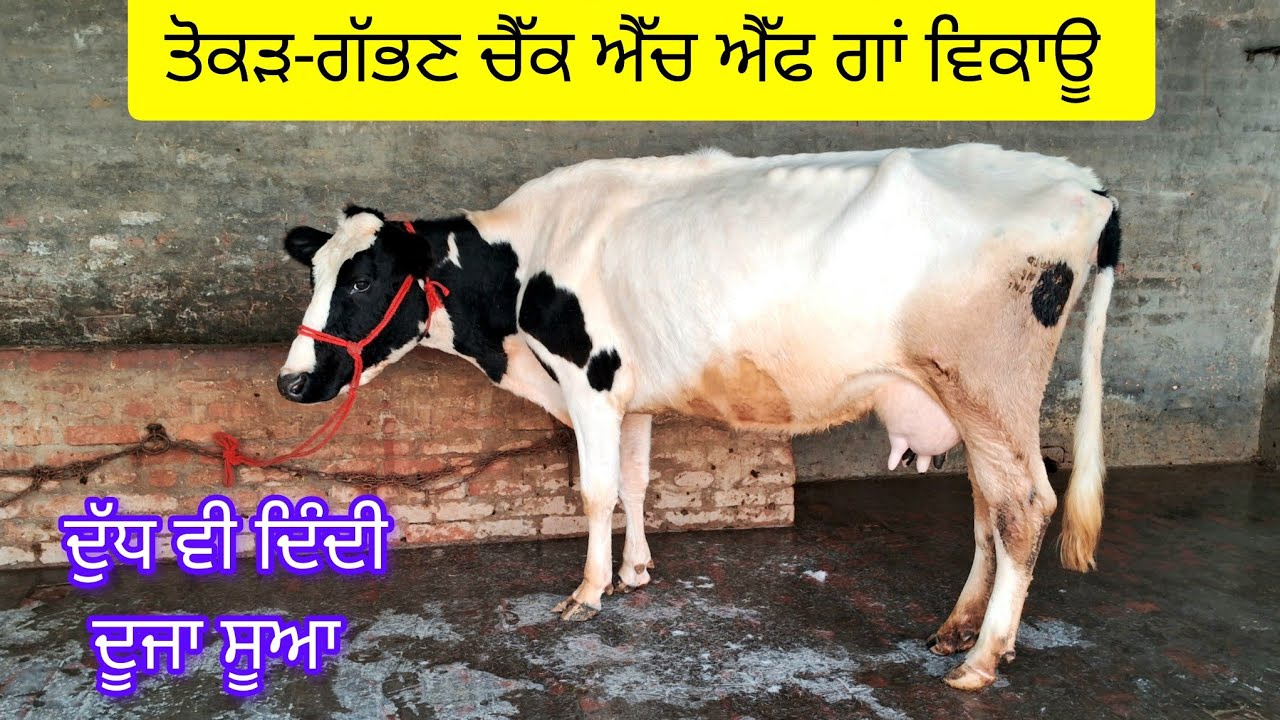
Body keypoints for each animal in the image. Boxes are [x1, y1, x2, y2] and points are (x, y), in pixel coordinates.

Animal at [276, 143, 1121, 690]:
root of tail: (1085, 185)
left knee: (1023, 506)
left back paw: (982, 660)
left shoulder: (588, 380)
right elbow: (635, 484)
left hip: (988, 387)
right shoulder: (630, 392)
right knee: (988, 508)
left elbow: (593, 491)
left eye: (363, 280)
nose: (291, 381)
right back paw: (959, 631)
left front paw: (587, 593)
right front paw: (636, 571)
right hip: (971, 403)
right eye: (316, 273)